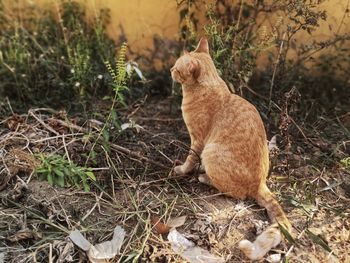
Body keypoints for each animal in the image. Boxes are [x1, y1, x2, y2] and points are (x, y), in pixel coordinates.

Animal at [171, 37, 292, 262]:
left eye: (177, 67)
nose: (170, 70)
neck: (209, 86)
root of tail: (260, 183)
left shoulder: (197, 141)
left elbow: (190, 160)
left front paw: (182, 170)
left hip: (211, 153)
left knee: (236, 193)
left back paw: (204, 177)